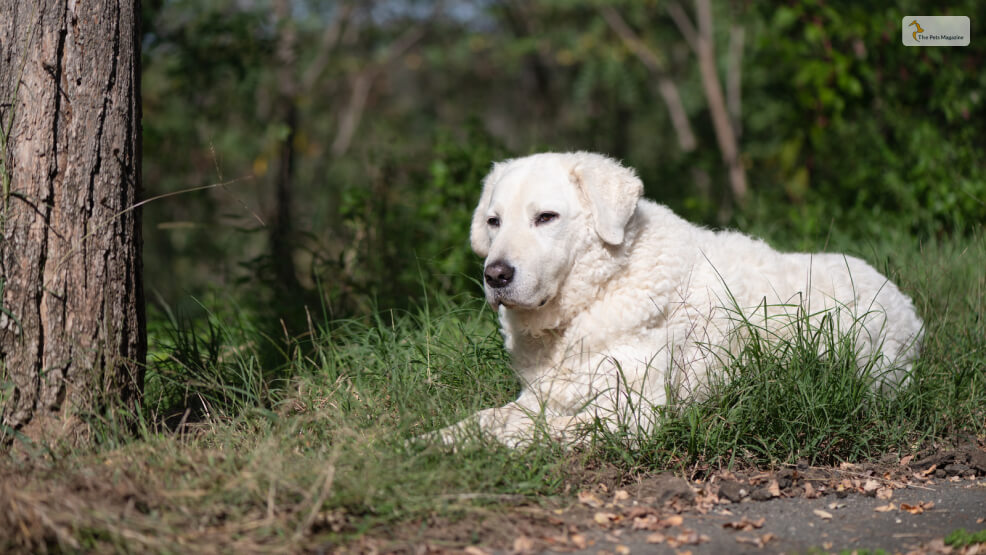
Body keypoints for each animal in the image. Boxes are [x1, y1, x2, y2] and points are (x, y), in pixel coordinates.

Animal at [434, 152, 920, 448]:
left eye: (546, 217)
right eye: (494, 221)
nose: (495, 275)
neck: (602, 289)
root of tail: (905, 302)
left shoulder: (630, 414)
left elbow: (525, 433)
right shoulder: (542, 395)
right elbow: (485, 420)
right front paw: (429, 442)